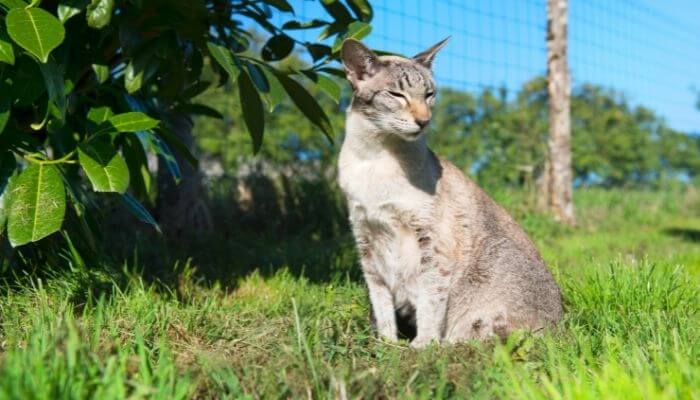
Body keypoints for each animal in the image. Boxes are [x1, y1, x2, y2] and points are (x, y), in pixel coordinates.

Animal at [340, 39, 564, 348]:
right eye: (397, 95)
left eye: (429, 94)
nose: (424, 121)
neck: (374, 158)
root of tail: (564, 331)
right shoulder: (366, 241)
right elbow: (382, 305)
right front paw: (386, 344)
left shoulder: (432, 245)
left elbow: (429, 303)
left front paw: (420, 346)